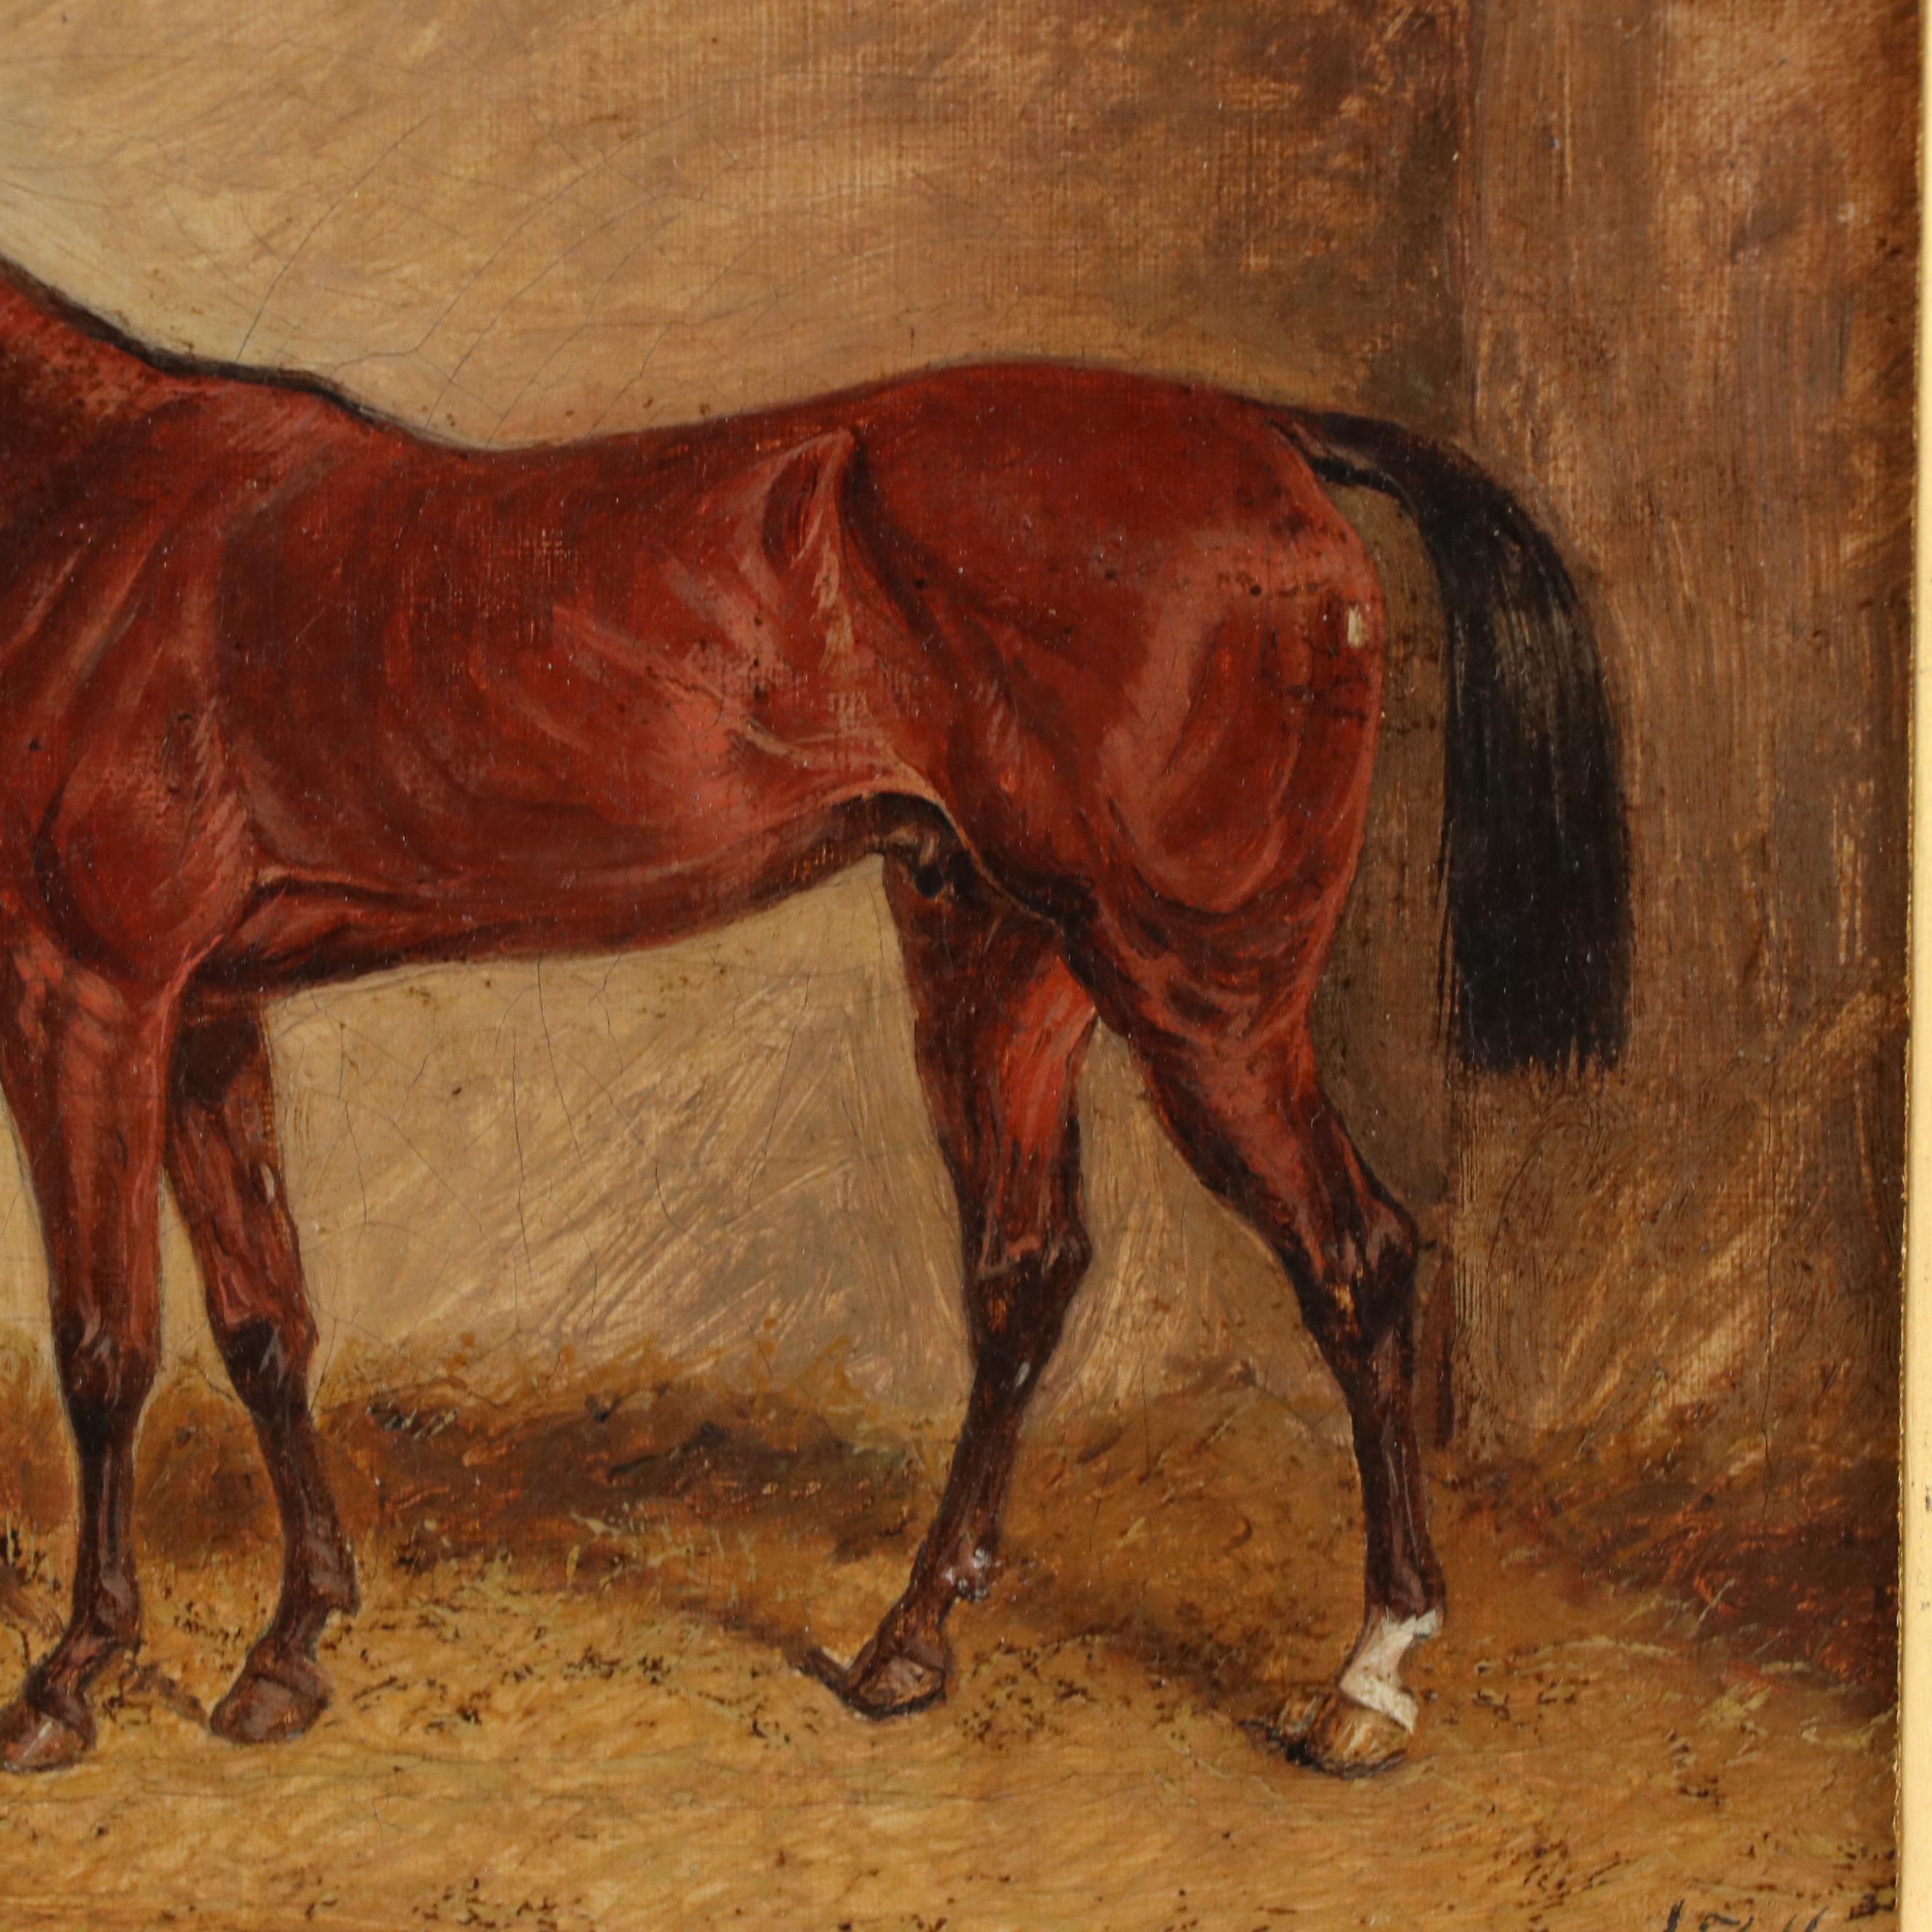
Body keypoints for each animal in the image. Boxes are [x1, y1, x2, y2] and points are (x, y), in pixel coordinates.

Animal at [0, 249, 1629, 1778]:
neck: (94, 504)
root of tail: (1264, 434)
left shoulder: (88, 995)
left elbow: (106, 1344)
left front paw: (68, 1681)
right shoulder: (204, 1012)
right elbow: (263, 1322)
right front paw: (290, 1647)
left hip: (1205, 999)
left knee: (1355, 1259)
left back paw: (1368, 1679)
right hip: (1003, 958)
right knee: (1027, 1269)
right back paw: (910, 1639)